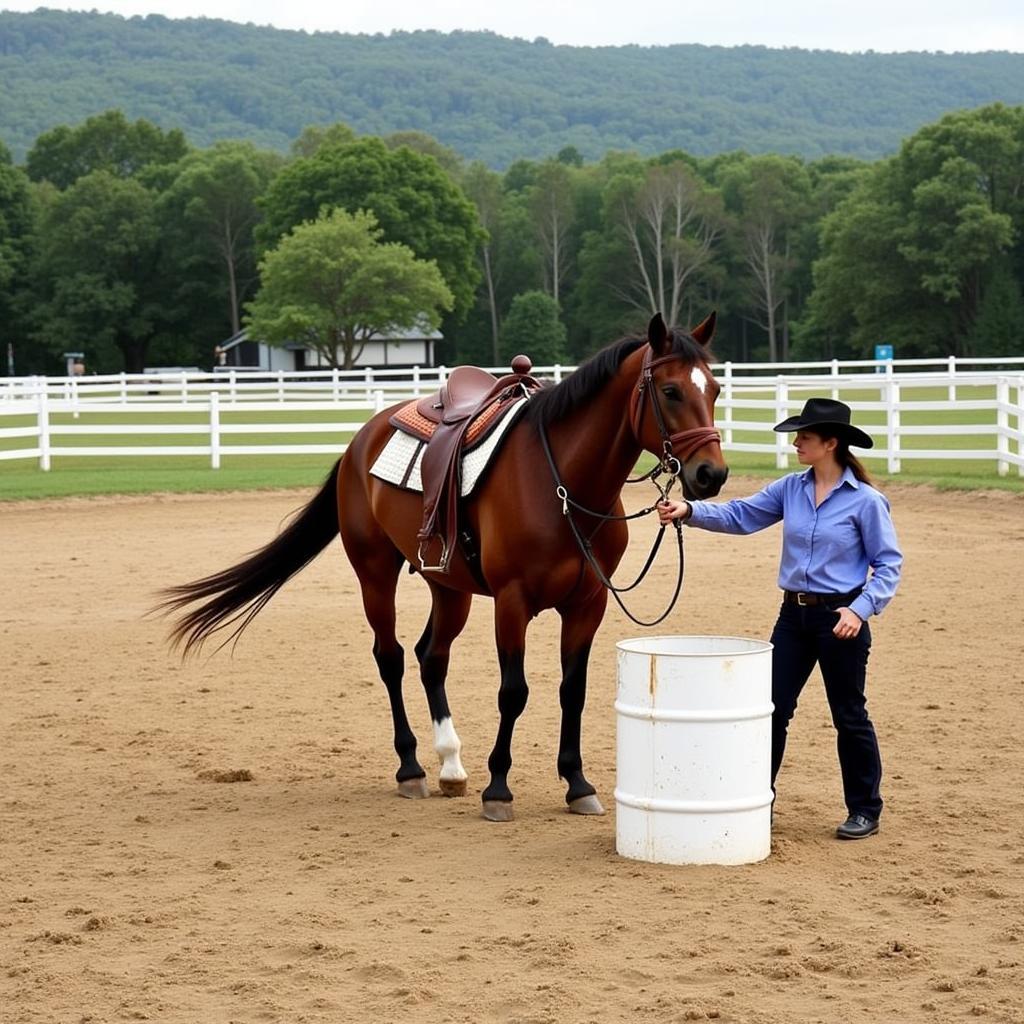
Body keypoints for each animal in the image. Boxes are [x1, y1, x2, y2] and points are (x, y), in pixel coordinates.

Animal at [159, 311, 729, 823]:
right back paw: (411, 767)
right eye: (671, 391)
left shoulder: (586, 604)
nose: (712, 474)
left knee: (431, 657)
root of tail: (360, 440)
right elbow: (513, 692)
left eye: (716, 390)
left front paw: (577, 783)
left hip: (448, 587)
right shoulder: (512, 602)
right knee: (390, 658)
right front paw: (499, 789)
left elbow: (574, 691)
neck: (562, 484)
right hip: (374, 573)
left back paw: (451, 765)